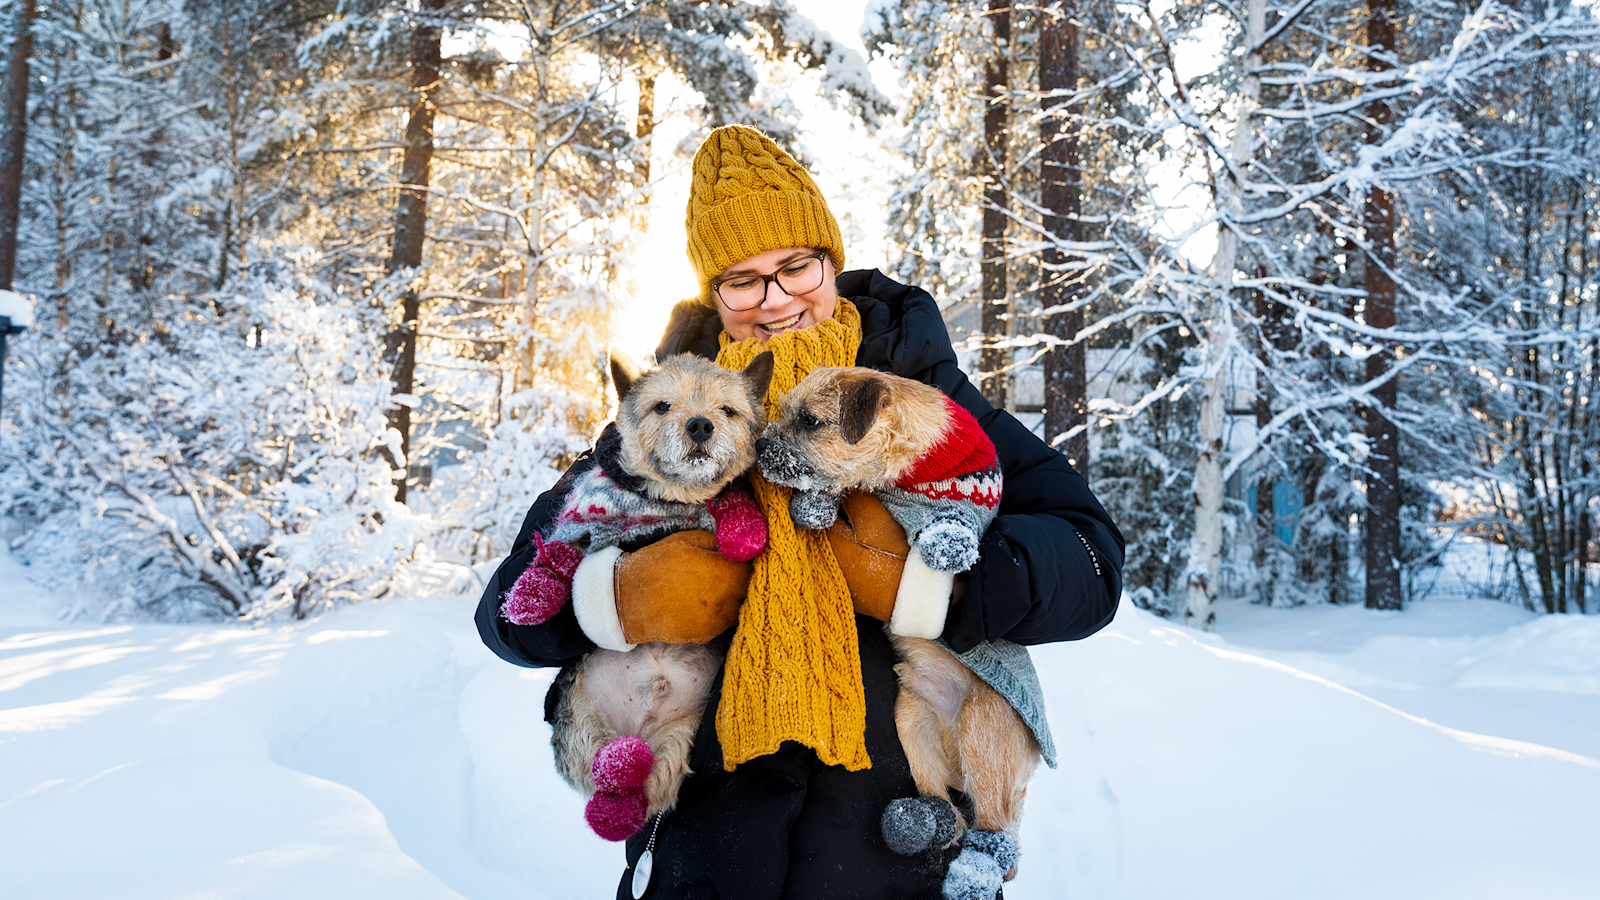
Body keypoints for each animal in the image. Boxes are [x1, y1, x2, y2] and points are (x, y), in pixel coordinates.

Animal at [758, 366, 1043, 890]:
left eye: (810, 421)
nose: (760, 445)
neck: (910, 468)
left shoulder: (972, 498)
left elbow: (954, 522)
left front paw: (946, 545)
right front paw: (815, 507)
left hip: (983, 728)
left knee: (997, 833)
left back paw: (972, 877)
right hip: (910, 720)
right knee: (948, 810)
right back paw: (917, 824)